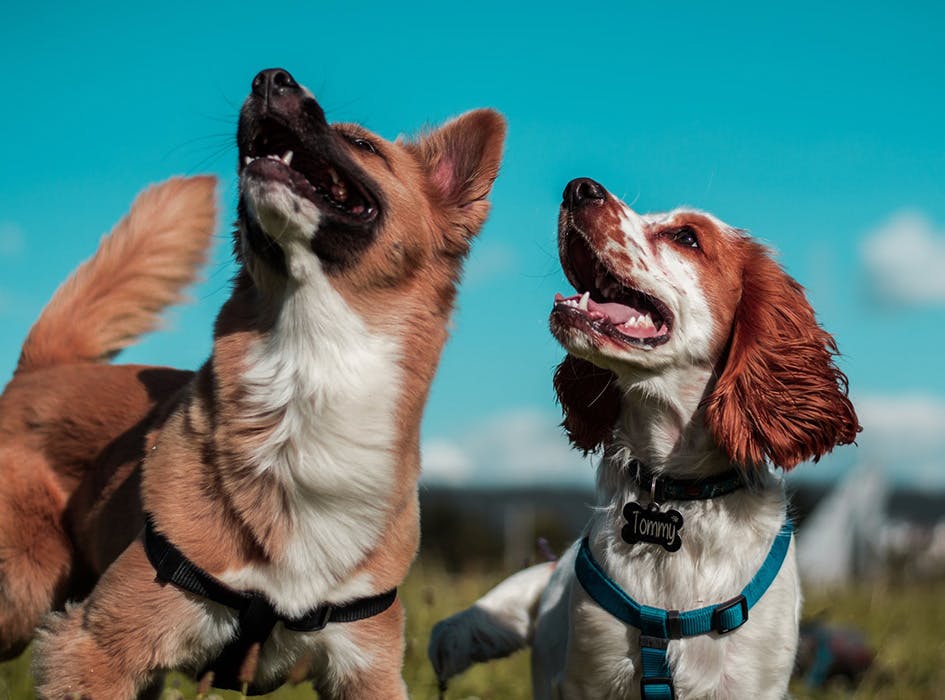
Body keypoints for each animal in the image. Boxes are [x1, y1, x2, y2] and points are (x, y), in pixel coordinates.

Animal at [0, 67, 506, 700]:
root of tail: (43, 368)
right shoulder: (94, 647)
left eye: (362, 145)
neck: (309, 370)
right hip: (21, 593)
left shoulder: (368, 667)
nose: (271, 78)